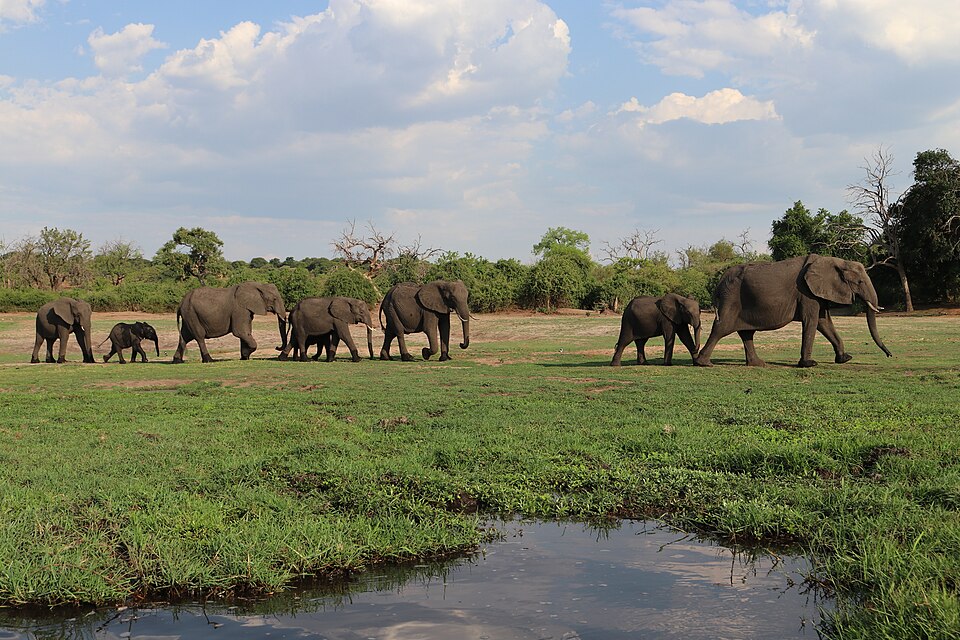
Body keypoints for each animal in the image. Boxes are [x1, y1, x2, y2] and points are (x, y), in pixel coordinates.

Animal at [694, 254, 893, 368]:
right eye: (859, 282)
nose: (890, 355)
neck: (835, 260)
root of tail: (720, 280)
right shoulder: (806, 292)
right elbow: (812, 321)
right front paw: (809, 364)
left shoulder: (816, 292)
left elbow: (824, 322)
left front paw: (845, 359)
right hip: (731, 298)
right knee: (722, 327)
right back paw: (704, 364)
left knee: (746, 333)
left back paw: (758, 364)